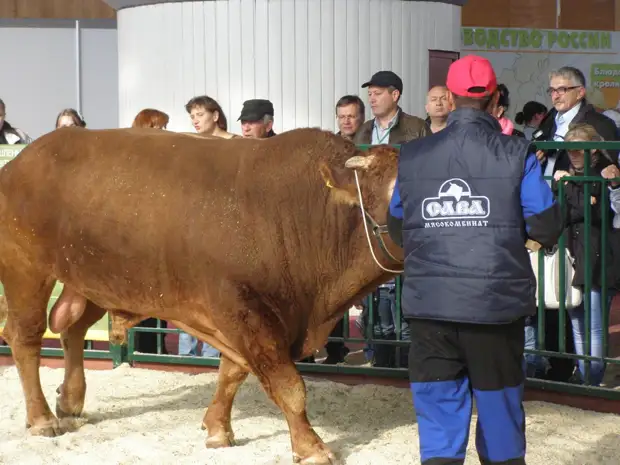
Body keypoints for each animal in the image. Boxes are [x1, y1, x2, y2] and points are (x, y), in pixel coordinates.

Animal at [0, 125, 402, 462]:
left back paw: (70, 402)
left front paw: (218, 428)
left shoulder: (241, 318)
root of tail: (22, 161)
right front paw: (311, 447)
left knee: (71, 329)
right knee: (25, 337)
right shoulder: (243, 309)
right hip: (26, 269)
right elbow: (288, 385)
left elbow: (233, 372)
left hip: (95, 279)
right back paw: (42, 418)